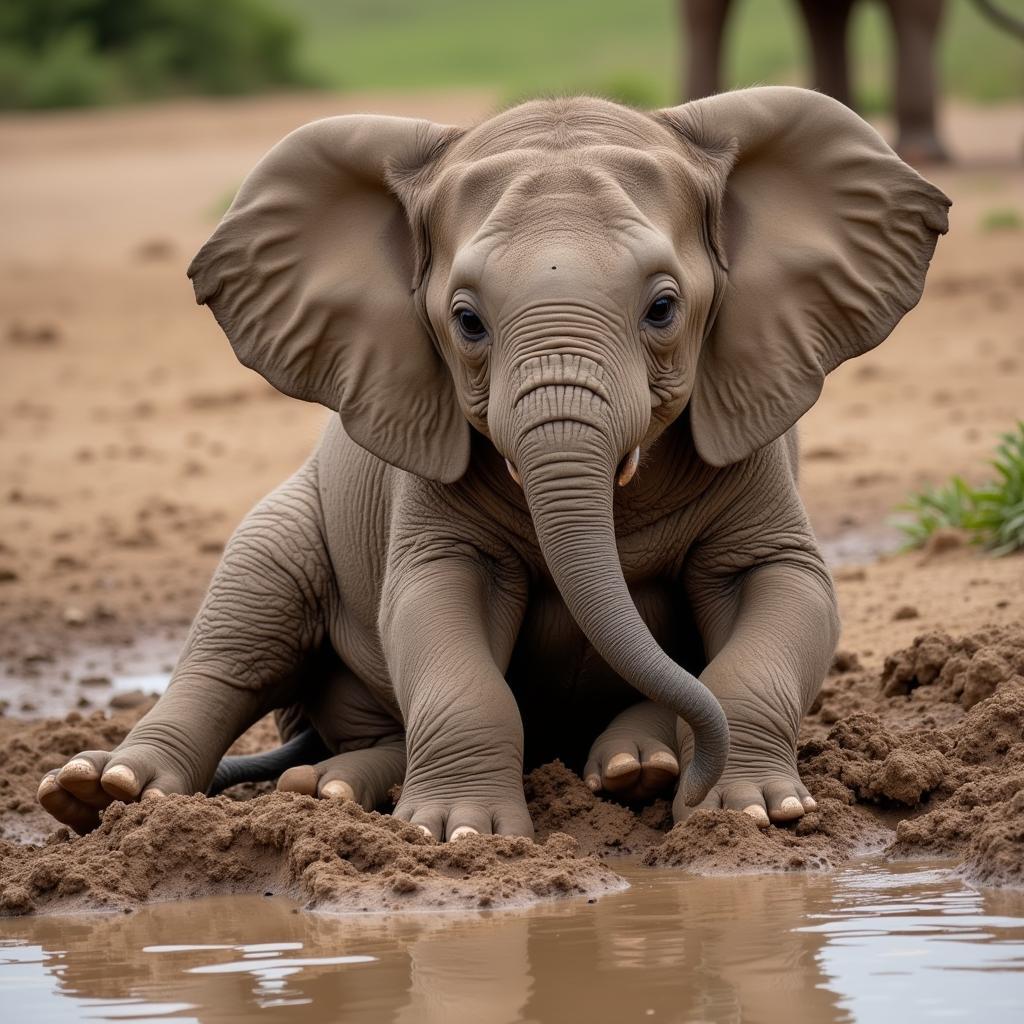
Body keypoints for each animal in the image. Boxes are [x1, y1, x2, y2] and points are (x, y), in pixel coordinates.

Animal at [39, 88, 950, 839]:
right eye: (467, 321)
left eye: (664, 308)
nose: (697, 785)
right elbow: (439, 610)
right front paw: (458, 834)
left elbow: (781, 592)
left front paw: (750, 814)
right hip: (293, 524)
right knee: (240, 633)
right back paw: (113, 791)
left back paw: (630, 767)